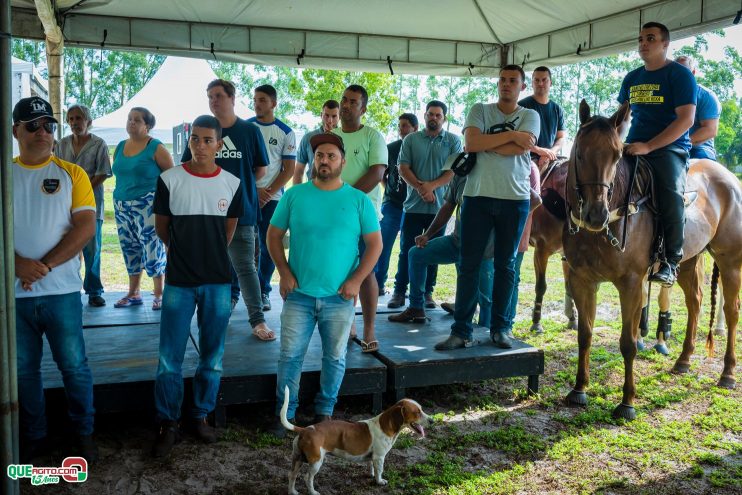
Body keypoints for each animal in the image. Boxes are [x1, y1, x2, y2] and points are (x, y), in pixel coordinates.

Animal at [280, 388, 430, 495]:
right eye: (417, 412)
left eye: (421, 409)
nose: (432, 421)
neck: (385, 424)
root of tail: (305, 430)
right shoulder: (379, 457)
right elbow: (379, 471)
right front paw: (379, 481)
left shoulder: (373, 458)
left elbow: (372, 467)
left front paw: (371, 474)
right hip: (316, 462)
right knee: (307, 478)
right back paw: (313, 492)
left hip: (298, 459)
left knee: (291, 475)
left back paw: (292, 492)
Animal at [568, 101, 740, 422]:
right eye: (580, 153)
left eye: (616, 155)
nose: (596, 215)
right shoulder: (582, 279)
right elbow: (585, 335)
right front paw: (579, 389)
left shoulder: (632, 284)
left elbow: (628, 343)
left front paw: (627, 402)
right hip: (687, 262)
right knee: (695, 302)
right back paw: (684, 360)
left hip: (731, 260)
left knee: (732, 312)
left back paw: (728, 374)